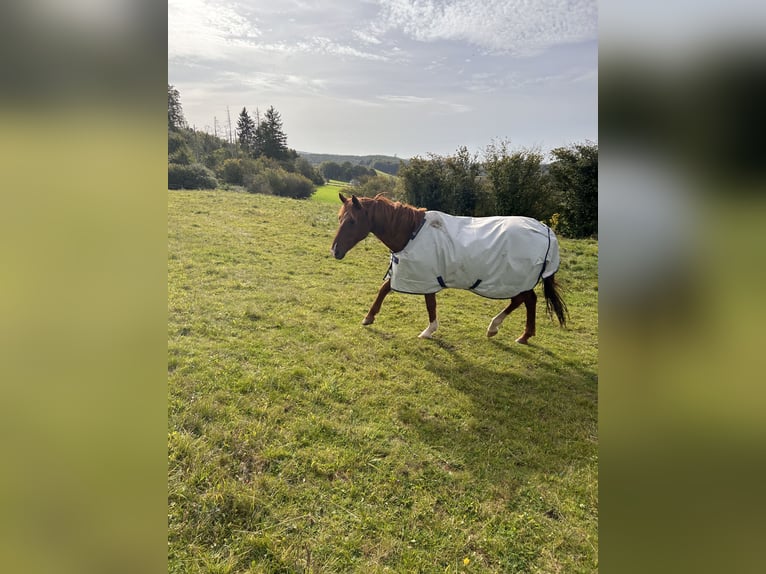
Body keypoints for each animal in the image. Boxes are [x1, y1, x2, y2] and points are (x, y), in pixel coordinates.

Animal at [332, 194, 568, 342]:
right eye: (339, 218)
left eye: (352, 221)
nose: (335, 251)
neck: (410, 232)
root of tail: (546, 231)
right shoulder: (421, 275)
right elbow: (389, 290)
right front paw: (370, 317)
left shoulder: (422, 275)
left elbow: (420, 300)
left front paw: (427, 331)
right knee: (524, 300)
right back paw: (509, 332)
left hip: (514, 279)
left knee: (526, 300)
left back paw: (511, 331)